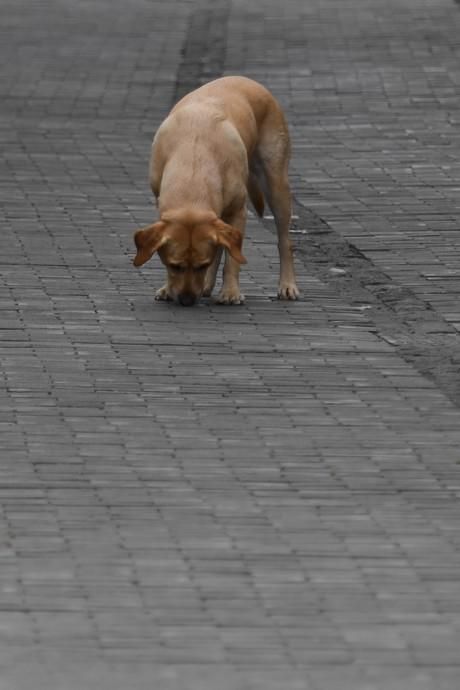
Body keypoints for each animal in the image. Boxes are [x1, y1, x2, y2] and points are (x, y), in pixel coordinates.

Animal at [133, 73, 298, 306]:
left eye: (202, 265)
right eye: (175, 265)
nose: (187, 300)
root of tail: (247, 79)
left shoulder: (238, 212)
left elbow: (232, 259)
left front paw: (230, 292)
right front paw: (167, 288)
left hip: (276, 184)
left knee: (284, 241)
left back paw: (287, 285)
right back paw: (207, 287)